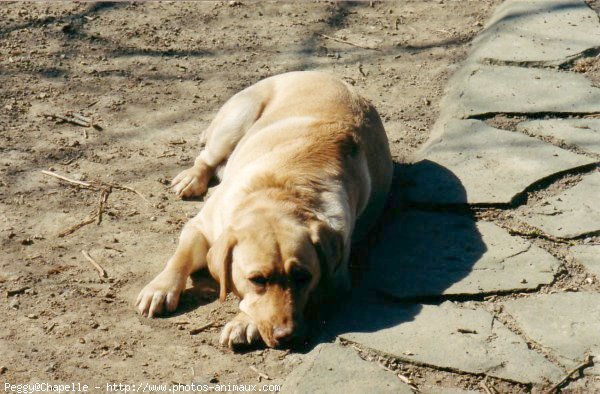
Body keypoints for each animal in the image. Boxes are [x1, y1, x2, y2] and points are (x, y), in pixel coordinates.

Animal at [136, 71, 394, 348]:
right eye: (257, 280)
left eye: (303, 277)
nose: (287, 336)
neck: (278, 192)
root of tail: (318, 73)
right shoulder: (201, 226)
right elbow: (180, 257)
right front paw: (161, 288)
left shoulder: (337, 279)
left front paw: (244, 322)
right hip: (237, 120)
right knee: (205, 158)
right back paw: (192, 178)